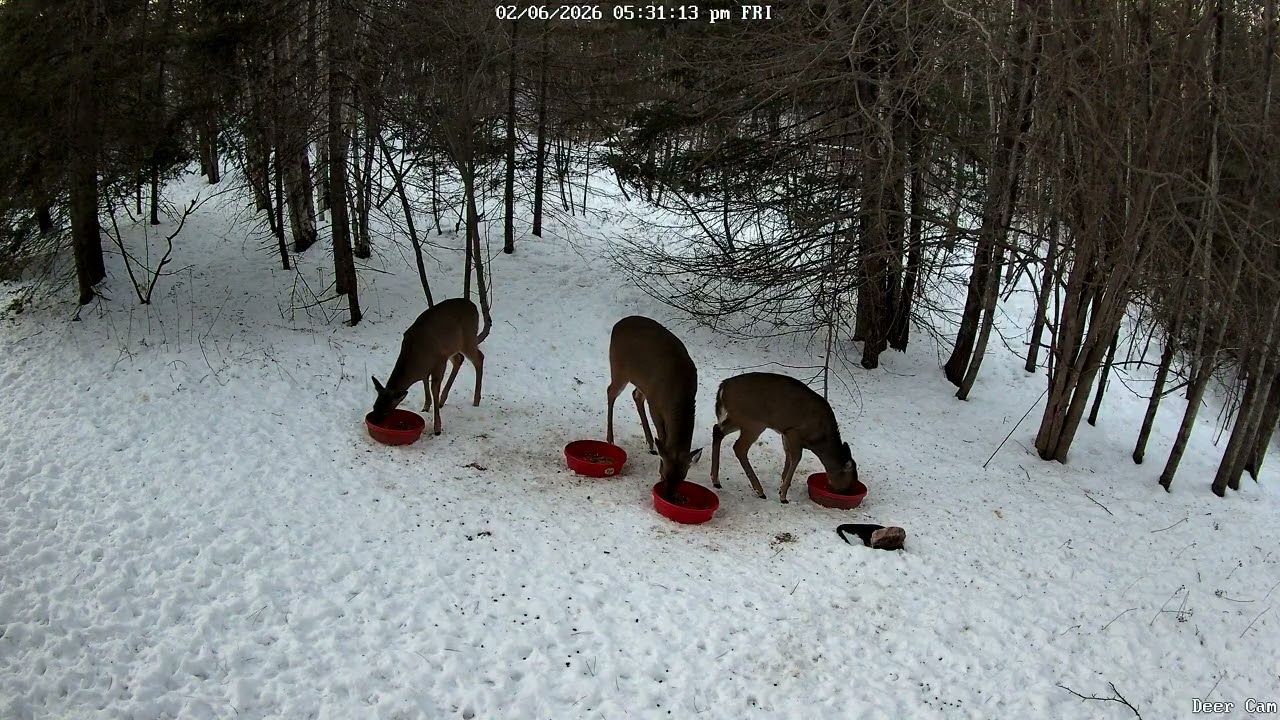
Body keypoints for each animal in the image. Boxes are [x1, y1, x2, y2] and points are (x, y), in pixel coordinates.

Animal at [370, 297, 484, 436]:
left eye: (387, 412)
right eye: (374, 407)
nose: (374, 423)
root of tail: (473, 306)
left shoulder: (440, 361)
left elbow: (434, 388)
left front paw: (437, 428)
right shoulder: (427, 366)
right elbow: (424, 381)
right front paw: (425, 407)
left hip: (468, 339)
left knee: (479, 358)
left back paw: (476, 400)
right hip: (453, 346)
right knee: (459, 359)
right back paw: (442, 401)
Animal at [606, 316, 703, 501]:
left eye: (682, 478)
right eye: (665, 475)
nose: (668, 497)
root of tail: (617, 325)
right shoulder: (655, 406)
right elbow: (663, 438)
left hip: (642, 382)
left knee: (636, 395)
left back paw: (650, 444)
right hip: (618, 367)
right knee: (611, 392)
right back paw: (610, 439)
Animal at [710, 372, 858, 504]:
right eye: (851, 481)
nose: (844, 493)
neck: (819, 439)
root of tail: (723, 387)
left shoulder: (785, 433)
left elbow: (788, 456)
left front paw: (781, 487)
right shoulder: (794, 432)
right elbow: (796, 458)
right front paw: (784, 496)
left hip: (738, 419)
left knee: (717, 430)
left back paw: (716, 480)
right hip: (753, 422)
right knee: (739, 448)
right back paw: (760, 491)